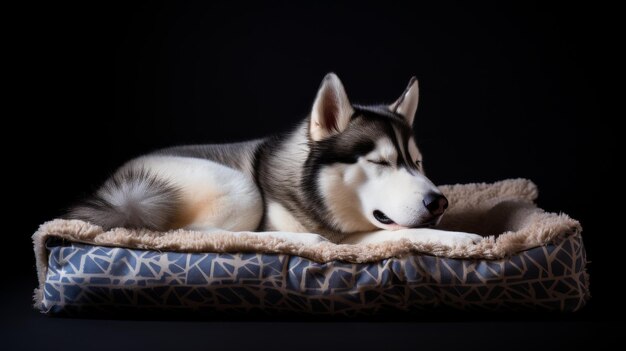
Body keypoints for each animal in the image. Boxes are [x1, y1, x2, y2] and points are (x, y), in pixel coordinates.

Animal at [69, 73, 478, 248]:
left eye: (418, 162)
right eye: (380, 162)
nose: (439, 202)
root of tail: (114, 187)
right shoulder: (352, 237)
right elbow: (401, 232)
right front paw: (462, 237)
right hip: (240, 188)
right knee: (193, 233)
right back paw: (304, 240)